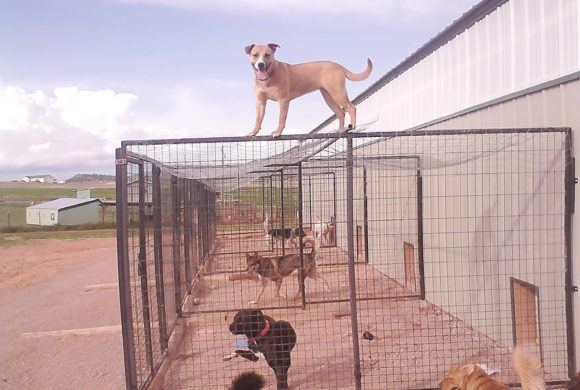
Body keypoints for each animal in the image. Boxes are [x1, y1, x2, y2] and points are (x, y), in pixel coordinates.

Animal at [244, 42, 372, 136]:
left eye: (267, 54)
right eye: (255, 55)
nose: (260, 64)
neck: (269, 77)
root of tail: (339, 66)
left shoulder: (283, 100)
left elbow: (281, 119)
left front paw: (278, 132)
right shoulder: (260, 102)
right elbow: (258, 119)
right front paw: (254, 131)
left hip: (338, 93)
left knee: (351, 108)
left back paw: (353, 126)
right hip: (328, 97)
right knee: (340, 113)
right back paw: (341, 130)